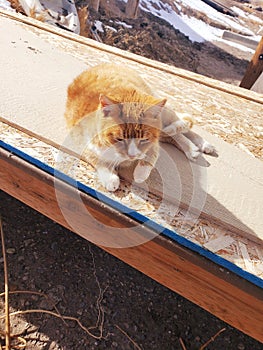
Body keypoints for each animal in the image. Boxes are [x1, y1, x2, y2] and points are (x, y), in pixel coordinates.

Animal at [64, 64, 217, 193]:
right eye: (120, 139)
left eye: (143, 139)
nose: (132, 155)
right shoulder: (82, 142)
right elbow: (98, 160)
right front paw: (110, 178)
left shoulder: (153, 142)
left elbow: (151, 155)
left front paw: (140, 173)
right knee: (172, 135)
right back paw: (193, 149)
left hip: (164, 112)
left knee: (181, 127)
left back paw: (200, 145)